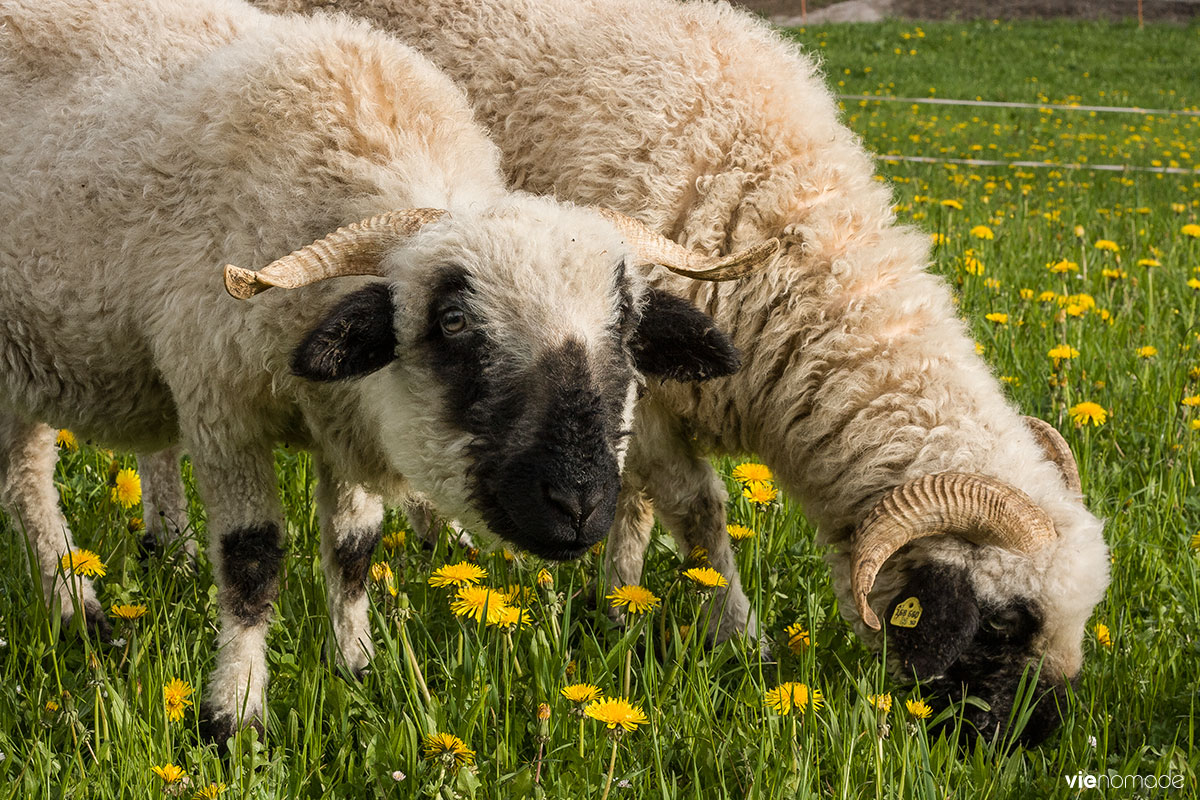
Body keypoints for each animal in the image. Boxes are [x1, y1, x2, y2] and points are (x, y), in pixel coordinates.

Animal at [0, 0, 768, 743]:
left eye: (629, 326)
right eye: (452, 322)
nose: (578, 506)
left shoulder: (343, 420)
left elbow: (352, 551)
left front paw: (356, 668)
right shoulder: (221, 407)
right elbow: (253, 561)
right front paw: (234, 716)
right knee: (28, 482)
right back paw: (78, 611)